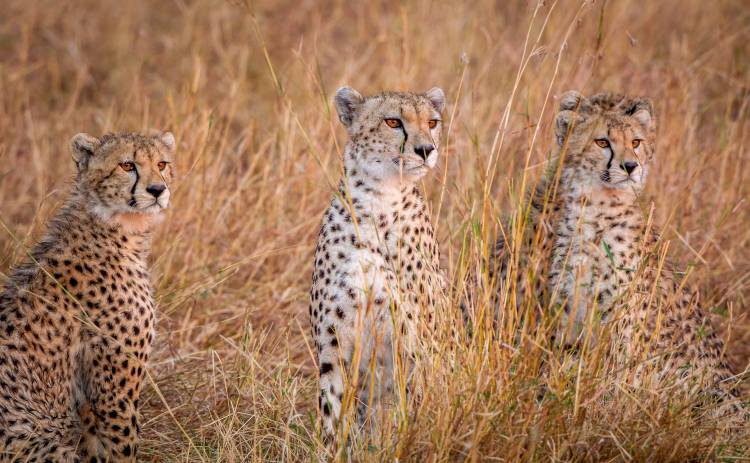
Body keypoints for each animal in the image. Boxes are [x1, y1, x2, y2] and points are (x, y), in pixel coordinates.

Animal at [309, 86, 448, 446]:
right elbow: (332, 416)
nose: (426, 149)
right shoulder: (334, 346)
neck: (378, 200)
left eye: (432, 122)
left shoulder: (414, 348)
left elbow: (408, 412)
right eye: (392, 122)